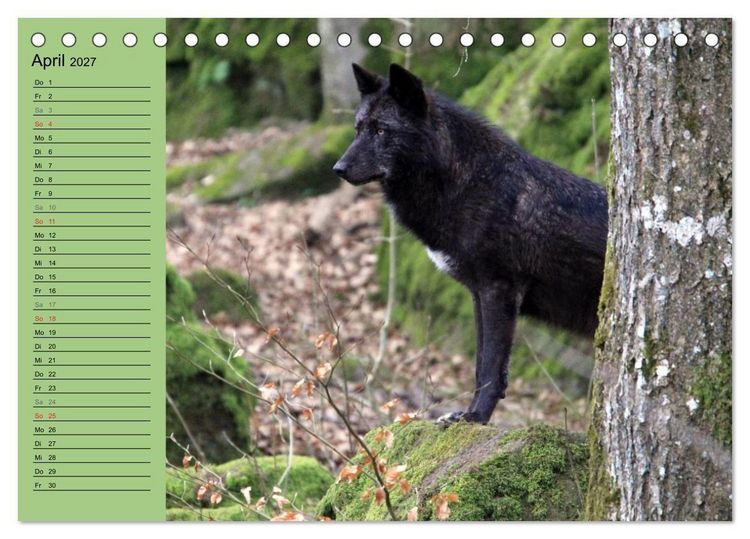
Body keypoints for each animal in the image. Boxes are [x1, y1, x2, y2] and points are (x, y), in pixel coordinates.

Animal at [333, 64, 608, 424]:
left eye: (381, 131)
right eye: (357, 129)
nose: (338, 168)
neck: (470, 183)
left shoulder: (498, 289)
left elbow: (491, 368)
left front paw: (476, 417)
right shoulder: (478, 293)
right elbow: (481, 367)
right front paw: (468, 413)